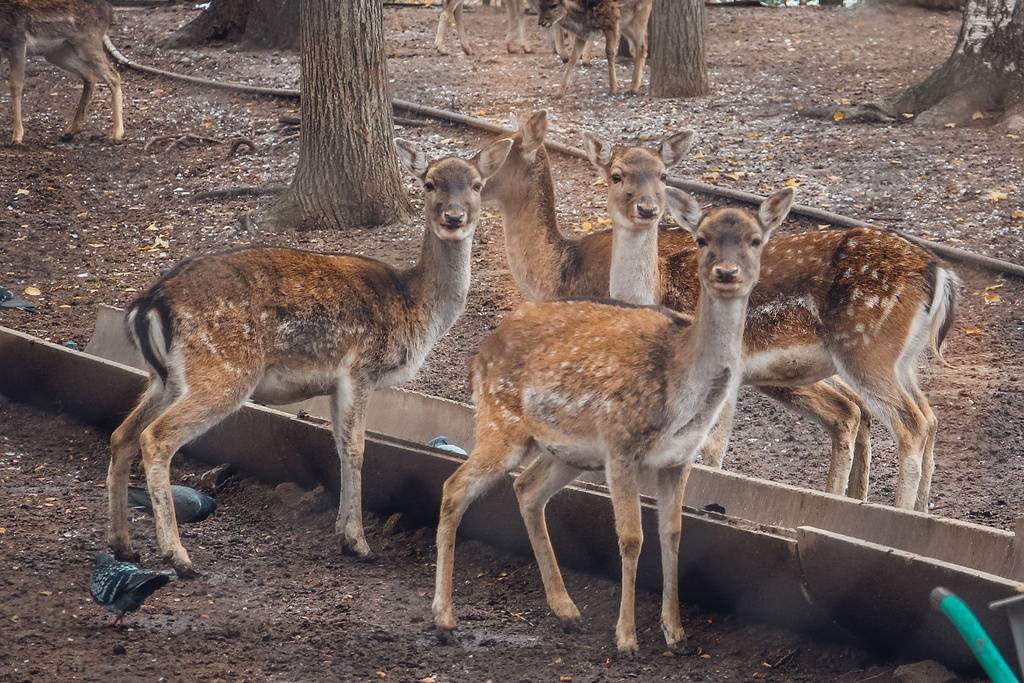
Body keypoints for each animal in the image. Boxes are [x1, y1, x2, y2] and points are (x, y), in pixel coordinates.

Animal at [108, 136, 516, 573]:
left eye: (476, 184)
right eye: (429, 183)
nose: (454, 218)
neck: (416, 306)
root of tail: (149, 304)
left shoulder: (336, 383)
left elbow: (339, 444)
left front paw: (341, 531)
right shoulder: (361, 368)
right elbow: (357, 448)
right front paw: (359, 543)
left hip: (164, 378)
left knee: (122, 434)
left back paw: (123, 545)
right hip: (222, 370)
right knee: (155, 437)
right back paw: (177, 555)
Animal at [436, 184, 794, 655]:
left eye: (756, 240)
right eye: (702, 239)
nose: (727, 271)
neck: (681, 388)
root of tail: (480, 352)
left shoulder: (679, 459)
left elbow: (672, 533)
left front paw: (676, 633)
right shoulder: (622, 446)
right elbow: (631, 536)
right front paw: (626, 637)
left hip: (568, 450)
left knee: (527, 489)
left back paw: (566, 610)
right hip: (501, 422)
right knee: (455, 487)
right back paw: (444, 618)